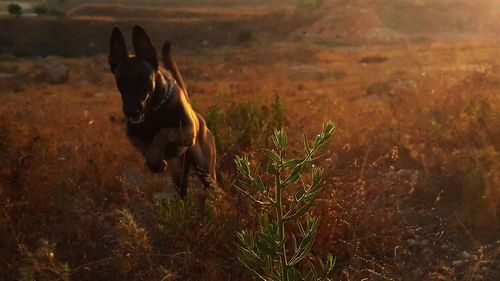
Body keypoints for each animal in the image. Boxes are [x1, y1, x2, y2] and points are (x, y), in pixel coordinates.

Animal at [108, 25, 216, 197]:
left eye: (143, 79)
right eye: (120, 81)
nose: (131, 111)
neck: (154, 110)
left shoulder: (188, 130)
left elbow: (163, 132)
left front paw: (157, 157)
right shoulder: (132, 136)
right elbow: (146, 148)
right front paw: (155, 162)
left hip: (205, 171)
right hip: (179, 175)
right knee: (182, 189)